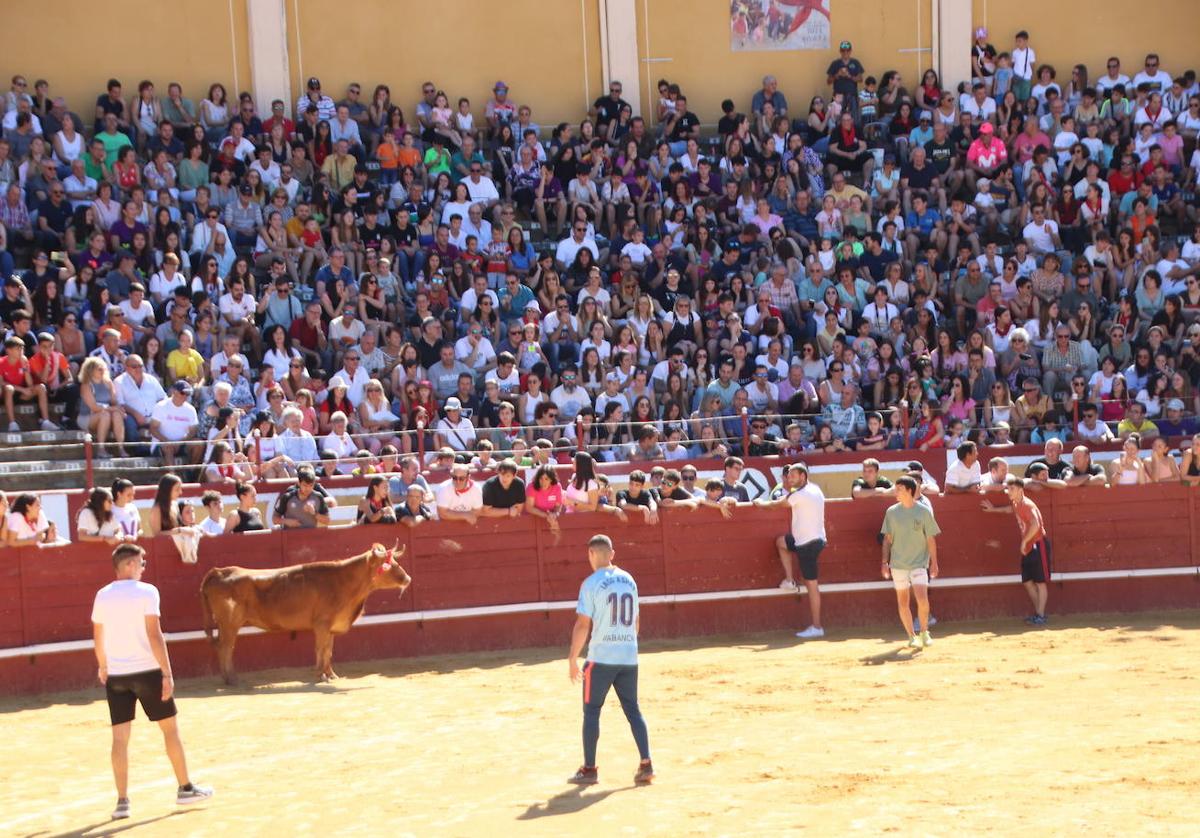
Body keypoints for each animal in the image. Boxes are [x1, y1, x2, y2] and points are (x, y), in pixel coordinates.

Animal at [201, 537, 412, 681]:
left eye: (395, 562)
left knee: (223, 646)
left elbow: (328, 651)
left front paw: (331, 674)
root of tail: (219, 572)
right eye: (386, 565)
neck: (342, 582)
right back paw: (232, 679)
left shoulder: (331, 627)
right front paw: (321, 675)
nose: (407, 579)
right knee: (226, 647)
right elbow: (321, 648)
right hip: (229, 623)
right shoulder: (321, 624)